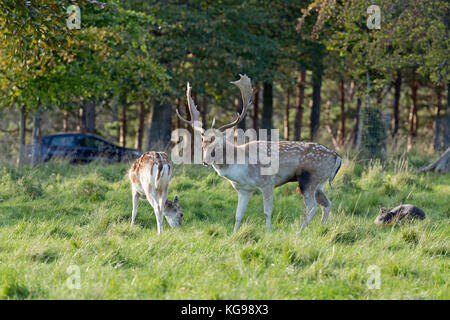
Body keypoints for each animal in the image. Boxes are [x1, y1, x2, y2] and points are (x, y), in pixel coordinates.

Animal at [177, 74, 342, 231]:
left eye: (217, 144)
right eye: (203, 144)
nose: (205, 161)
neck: (242, 167)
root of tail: (337, 157)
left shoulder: (268, 183)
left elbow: (267, 212)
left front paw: (269, 232)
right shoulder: (243, 190)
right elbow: (238, 214)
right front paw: (234, 233)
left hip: (309, 179)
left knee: (312, 207)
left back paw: (299, 231)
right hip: (319, 183)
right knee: (327, 204)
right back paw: (321, 227)